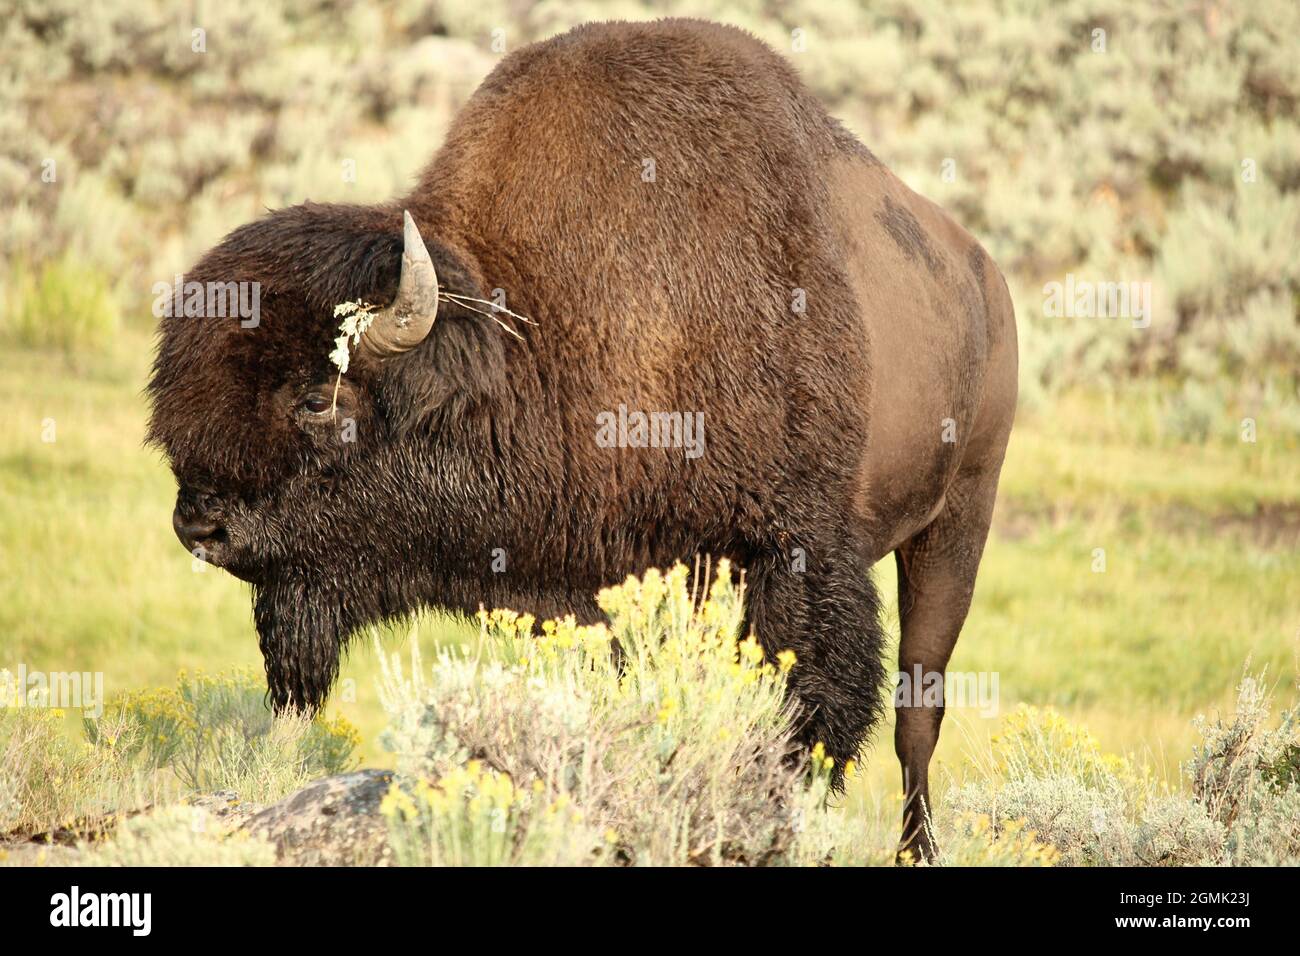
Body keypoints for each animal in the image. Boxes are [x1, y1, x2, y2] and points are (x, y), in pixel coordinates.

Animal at [149, 16, 1013, 858]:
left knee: (918, 711)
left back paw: (919, 848)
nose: (200, 526)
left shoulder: (797, 557)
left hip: (956, 524)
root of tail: (984, 276)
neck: (539, 335)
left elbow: (806, 716)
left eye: (317, 398)